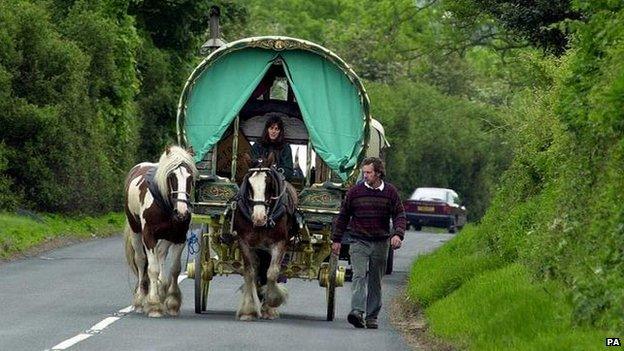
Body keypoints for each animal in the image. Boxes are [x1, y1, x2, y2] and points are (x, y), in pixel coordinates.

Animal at [123, 146, 196, 320]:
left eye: (190, 177)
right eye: (171, 176)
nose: (182, 212)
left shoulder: (179, 237)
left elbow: (175, 268)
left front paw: (172, 302)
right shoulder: (149, 236)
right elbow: (152, 269)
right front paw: (154, 305)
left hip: (166, 237)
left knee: (161, 254)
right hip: (136, 232)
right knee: (141, 261)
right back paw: (140, 299)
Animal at [234, 154, 300, 322]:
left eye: (268, 183)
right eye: (249, 184)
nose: (259, 218)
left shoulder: (280, 242)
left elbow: (272, 272)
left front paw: (272, 302)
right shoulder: (244, 242)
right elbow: (250, 273)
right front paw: (249, 310)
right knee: (257, 270)